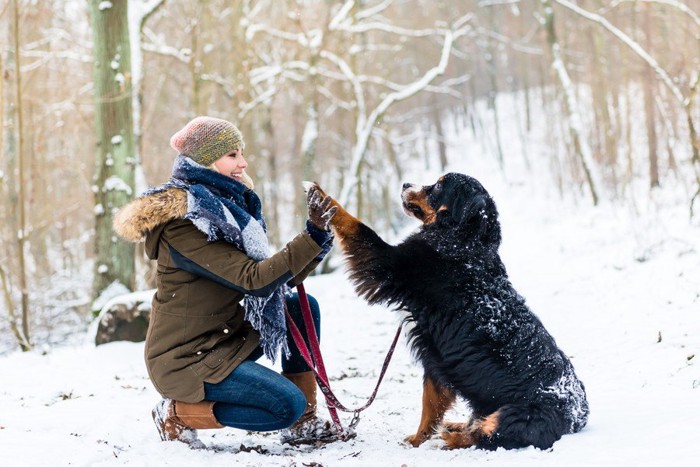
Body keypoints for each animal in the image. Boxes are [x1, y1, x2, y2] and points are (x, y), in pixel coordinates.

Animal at [308, 174, 588, 452]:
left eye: (439, 185)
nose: (405, 184)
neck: (462, 239)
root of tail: (578, 417)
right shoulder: (436, 357)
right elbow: (430, 404)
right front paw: (417, 439)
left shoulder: (389, 263)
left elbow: (355, 225)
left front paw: (321, 198)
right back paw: (456, 425)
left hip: (516, 414)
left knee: (487, 435)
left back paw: (452, 436)